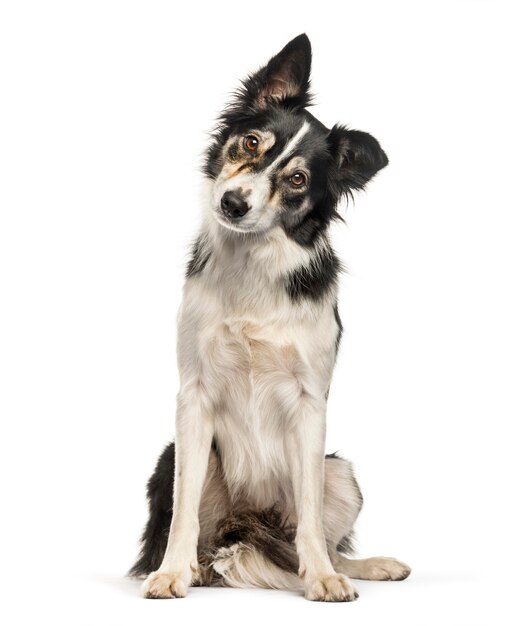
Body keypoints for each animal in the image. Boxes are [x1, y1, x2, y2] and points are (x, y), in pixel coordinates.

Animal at [130, 34, 410, 600]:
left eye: (298, 178)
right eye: (250, 142)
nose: (233, 203)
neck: (252, 263)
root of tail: (249, 523)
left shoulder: (310, 403)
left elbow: (310, 521)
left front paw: (321, 577)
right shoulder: (193, 397)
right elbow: (183, 514)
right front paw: (171, 573)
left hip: (341, 473)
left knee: (312, 538)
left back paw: (363, 566)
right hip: (171, 457)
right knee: (203, 534)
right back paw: (194, 567)